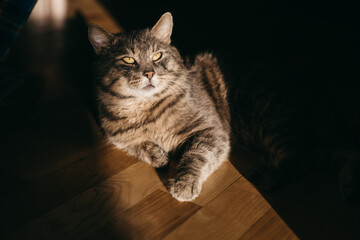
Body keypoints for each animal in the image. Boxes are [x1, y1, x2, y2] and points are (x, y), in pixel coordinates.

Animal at [88, 12, 229, 201]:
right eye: (128, 59)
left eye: (157, 56)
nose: (149, 73)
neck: (146, 108)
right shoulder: (118, 137)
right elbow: (139, 145)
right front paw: (158, 155)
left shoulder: (211, 130)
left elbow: (196, 155)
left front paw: (185, 184)